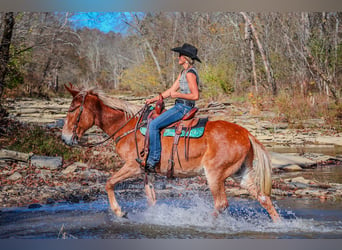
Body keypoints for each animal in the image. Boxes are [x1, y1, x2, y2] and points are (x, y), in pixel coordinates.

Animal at [61, 84, 280, 223]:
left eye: (73, 110)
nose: (64, 138)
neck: (128, 126)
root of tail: (246, 133)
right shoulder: (146, 171)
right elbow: (151, 199)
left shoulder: (132, 166)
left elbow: (109, 183)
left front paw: (119, 212)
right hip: (241, 174)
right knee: (263, 199)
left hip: (215, 174)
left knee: (221, 204)